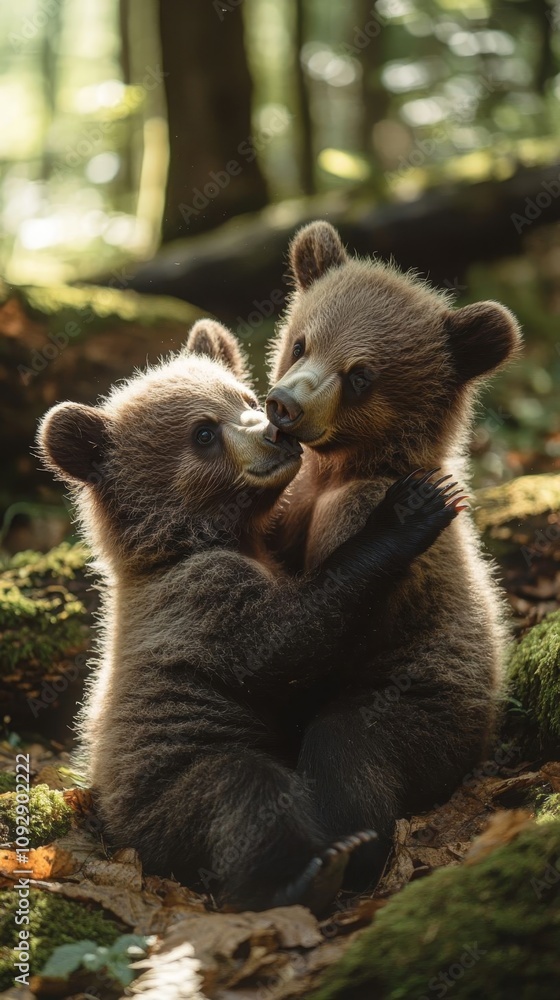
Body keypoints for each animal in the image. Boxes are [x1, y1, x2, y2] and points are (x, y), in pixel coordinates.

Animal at [37, 318, 463, 913]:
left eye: (243, 397)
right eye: (203, 433)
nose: (275, 434)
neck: (212, 538)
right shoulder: (198, 602)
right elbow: (285, 642)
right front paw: (410, 508)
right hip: (169, 783)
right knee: (243, 794)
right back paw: (308, 873)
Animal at [266, 220, 522, 887]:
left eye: (361, 374)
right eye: (302, 342)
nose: (284, 404)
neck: (339, 471)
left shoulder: (356, 517)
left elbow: (325, 633)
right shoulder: (296, 506)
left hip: (431, 708)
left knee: (350, 749)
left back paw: (338, 858)